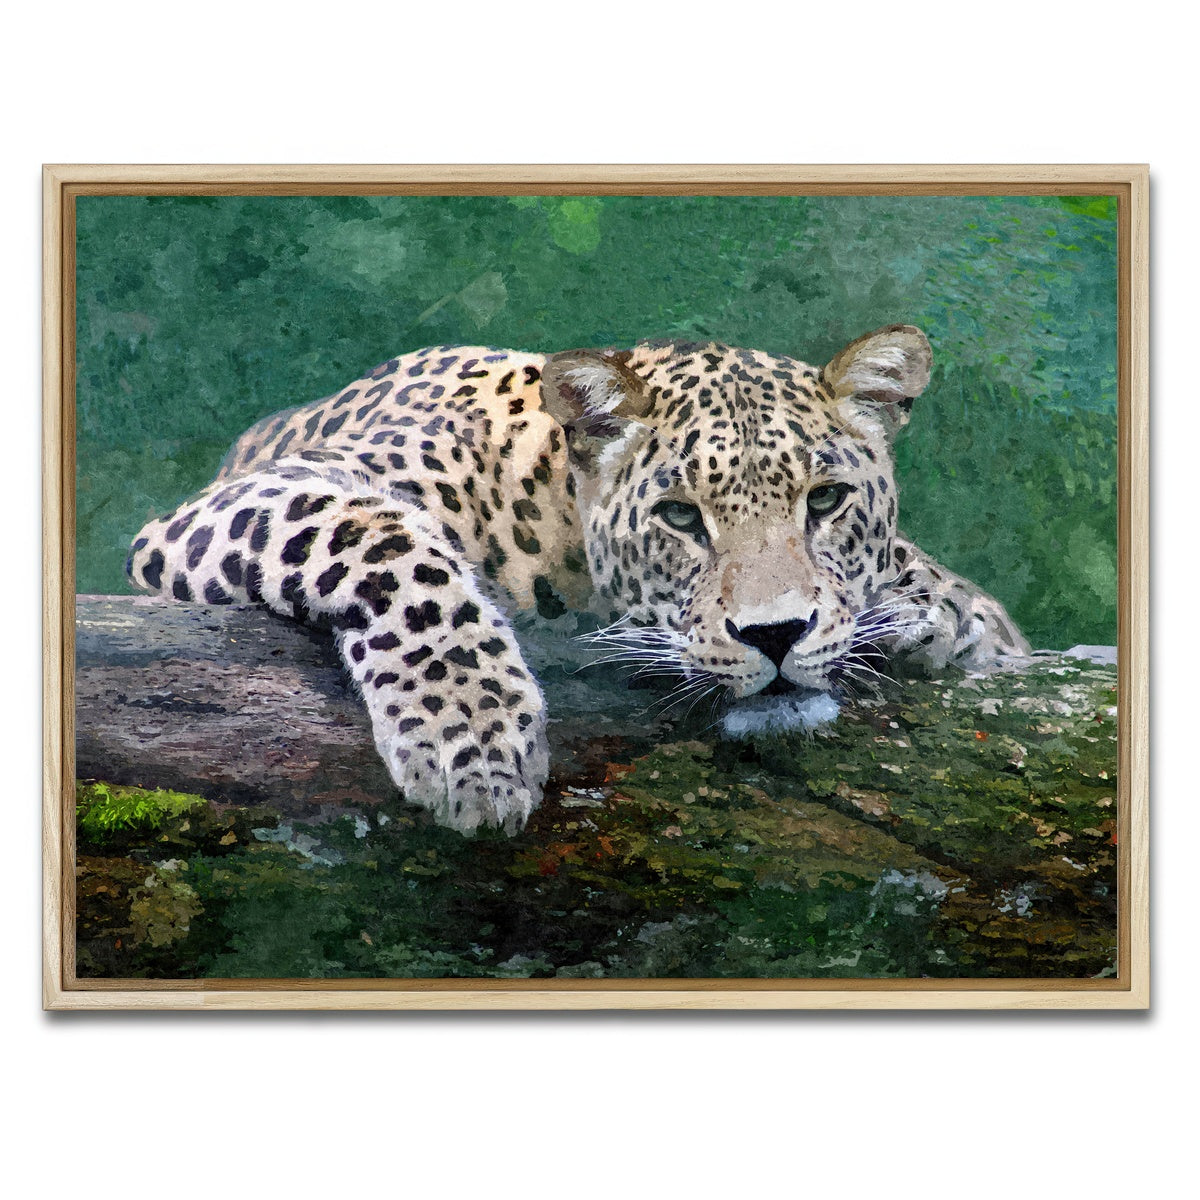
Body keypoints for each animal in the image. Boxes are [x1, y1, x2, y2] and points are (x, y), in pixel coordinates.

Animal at [127, 324, 1029, 834]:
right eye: (679, 517)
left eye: (828, 500)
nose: (775, 635)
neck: (551, 513)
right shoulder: (252, 498)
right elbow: (391, 547)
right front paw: (473, 741)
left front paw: (939, 613)